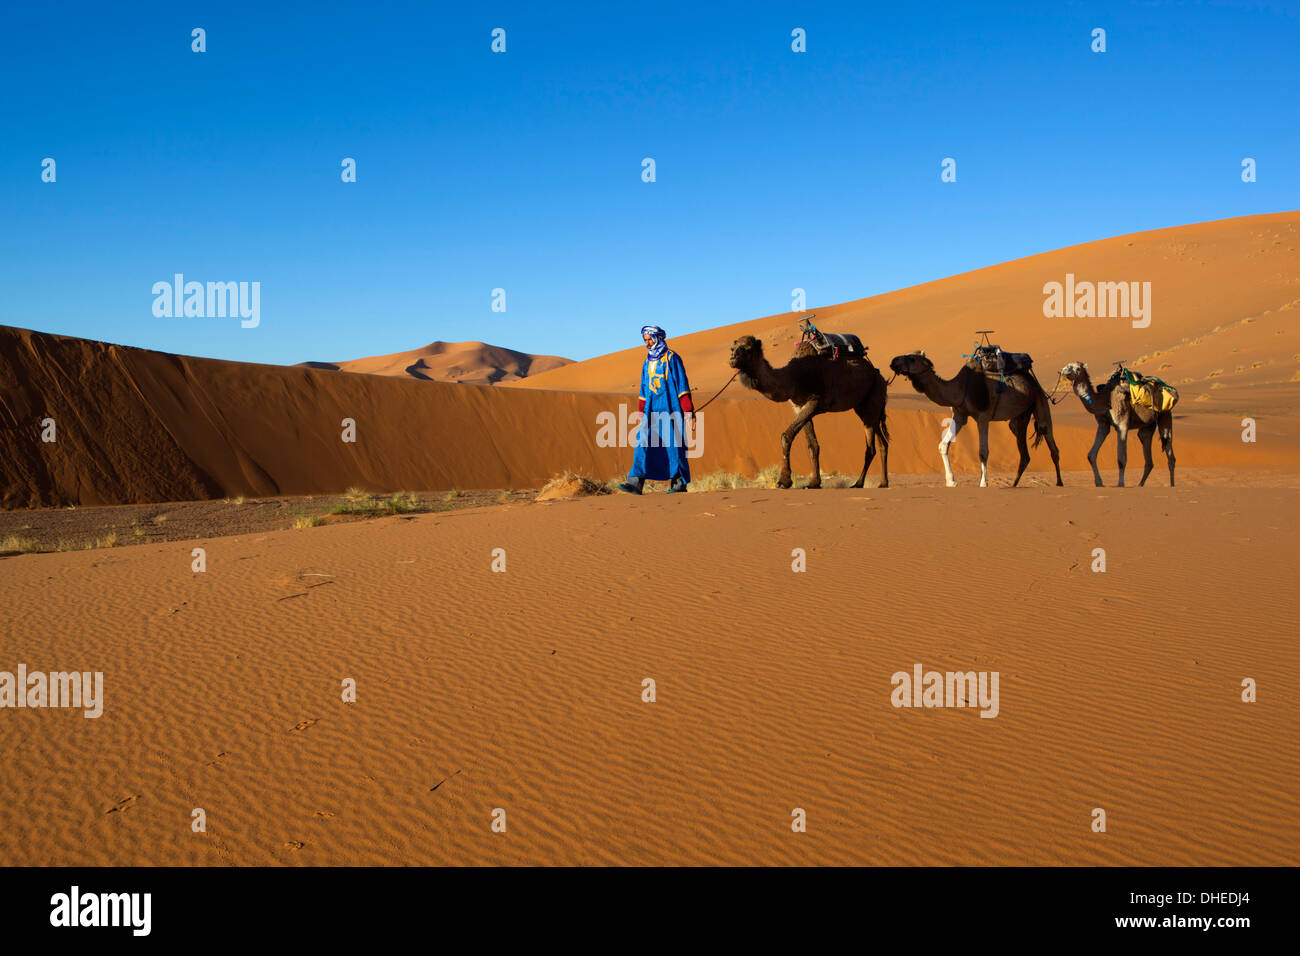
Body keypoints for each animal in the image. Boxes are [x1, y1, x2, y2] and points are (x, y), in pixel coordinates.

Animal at [728, 335, 889, 489]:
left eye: (748, 349)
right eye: (733, 348)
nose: (732, 359)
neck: (793, 377)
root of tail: (881, 377)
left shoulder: (814, 402)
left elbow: (786, 436)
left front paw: (784, 481)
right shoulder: (798, 407)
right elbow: (813, 445)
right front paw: (814, 483)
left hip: (872, 401)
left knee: (871, 448)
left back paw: (858, 484)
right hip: (866, 408)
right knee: (882, 442)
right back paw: (883, 483)